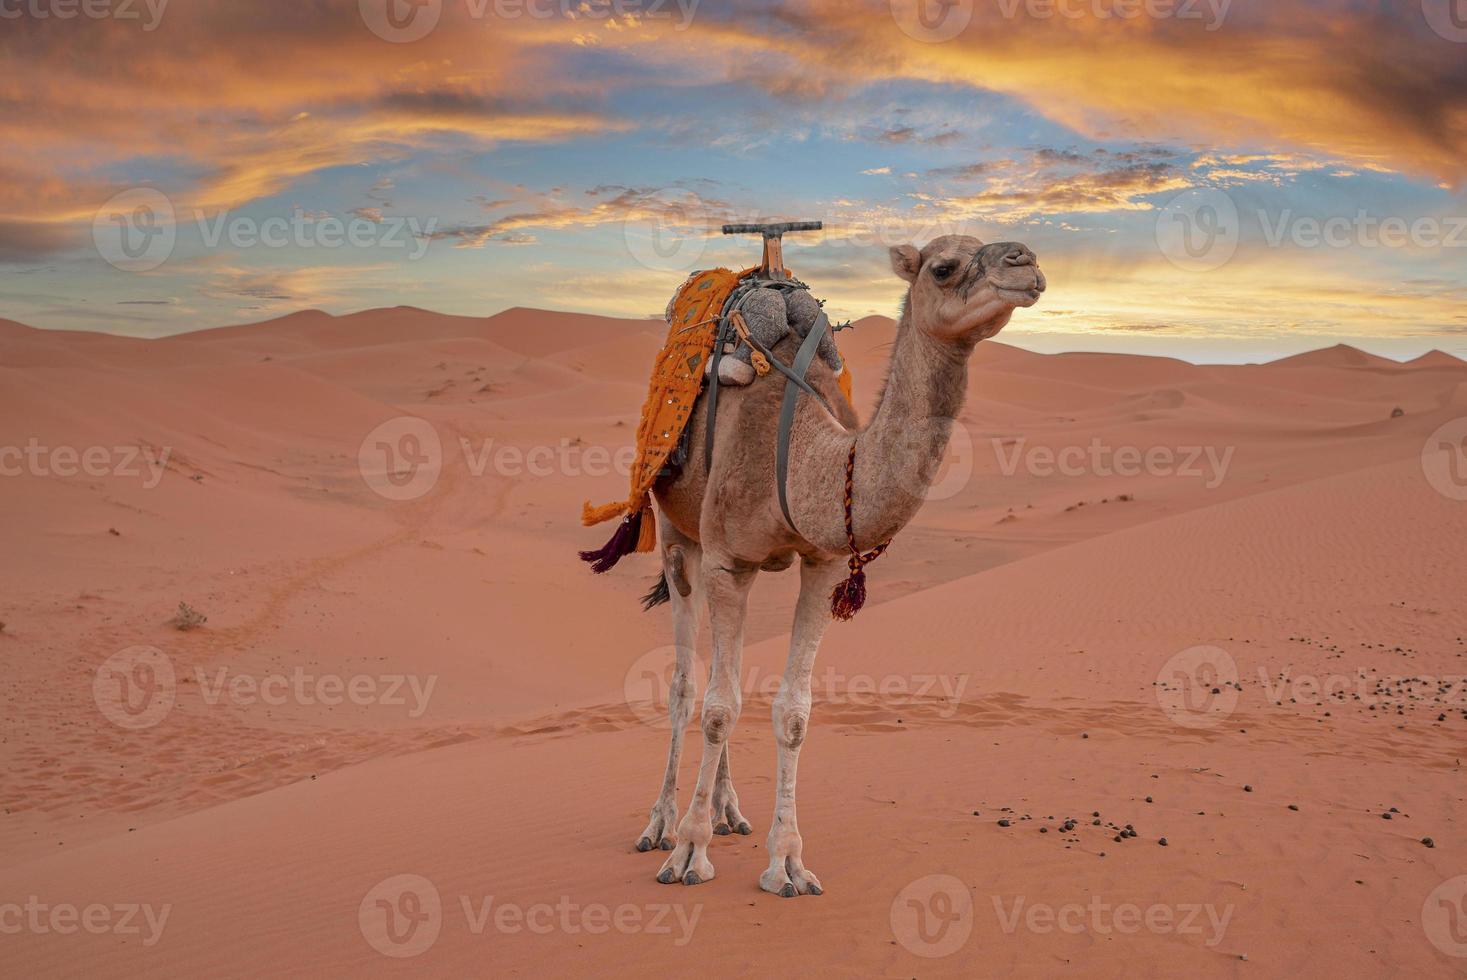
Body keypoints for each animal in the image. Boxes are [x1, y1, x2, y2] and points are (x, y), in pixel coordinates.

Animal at [639, 231, 1044, 897]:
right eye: (943, 267)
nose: (1026, 262)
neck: (804, 457)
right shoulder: (725, 560)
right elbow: (717, 709)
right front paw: (689, 855)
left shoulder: (824, 565)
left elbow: (792, 713)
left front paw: (787, 863)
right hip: (678, 536)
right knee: (685, 685)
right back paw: (662, 824)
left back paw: (729, 812)